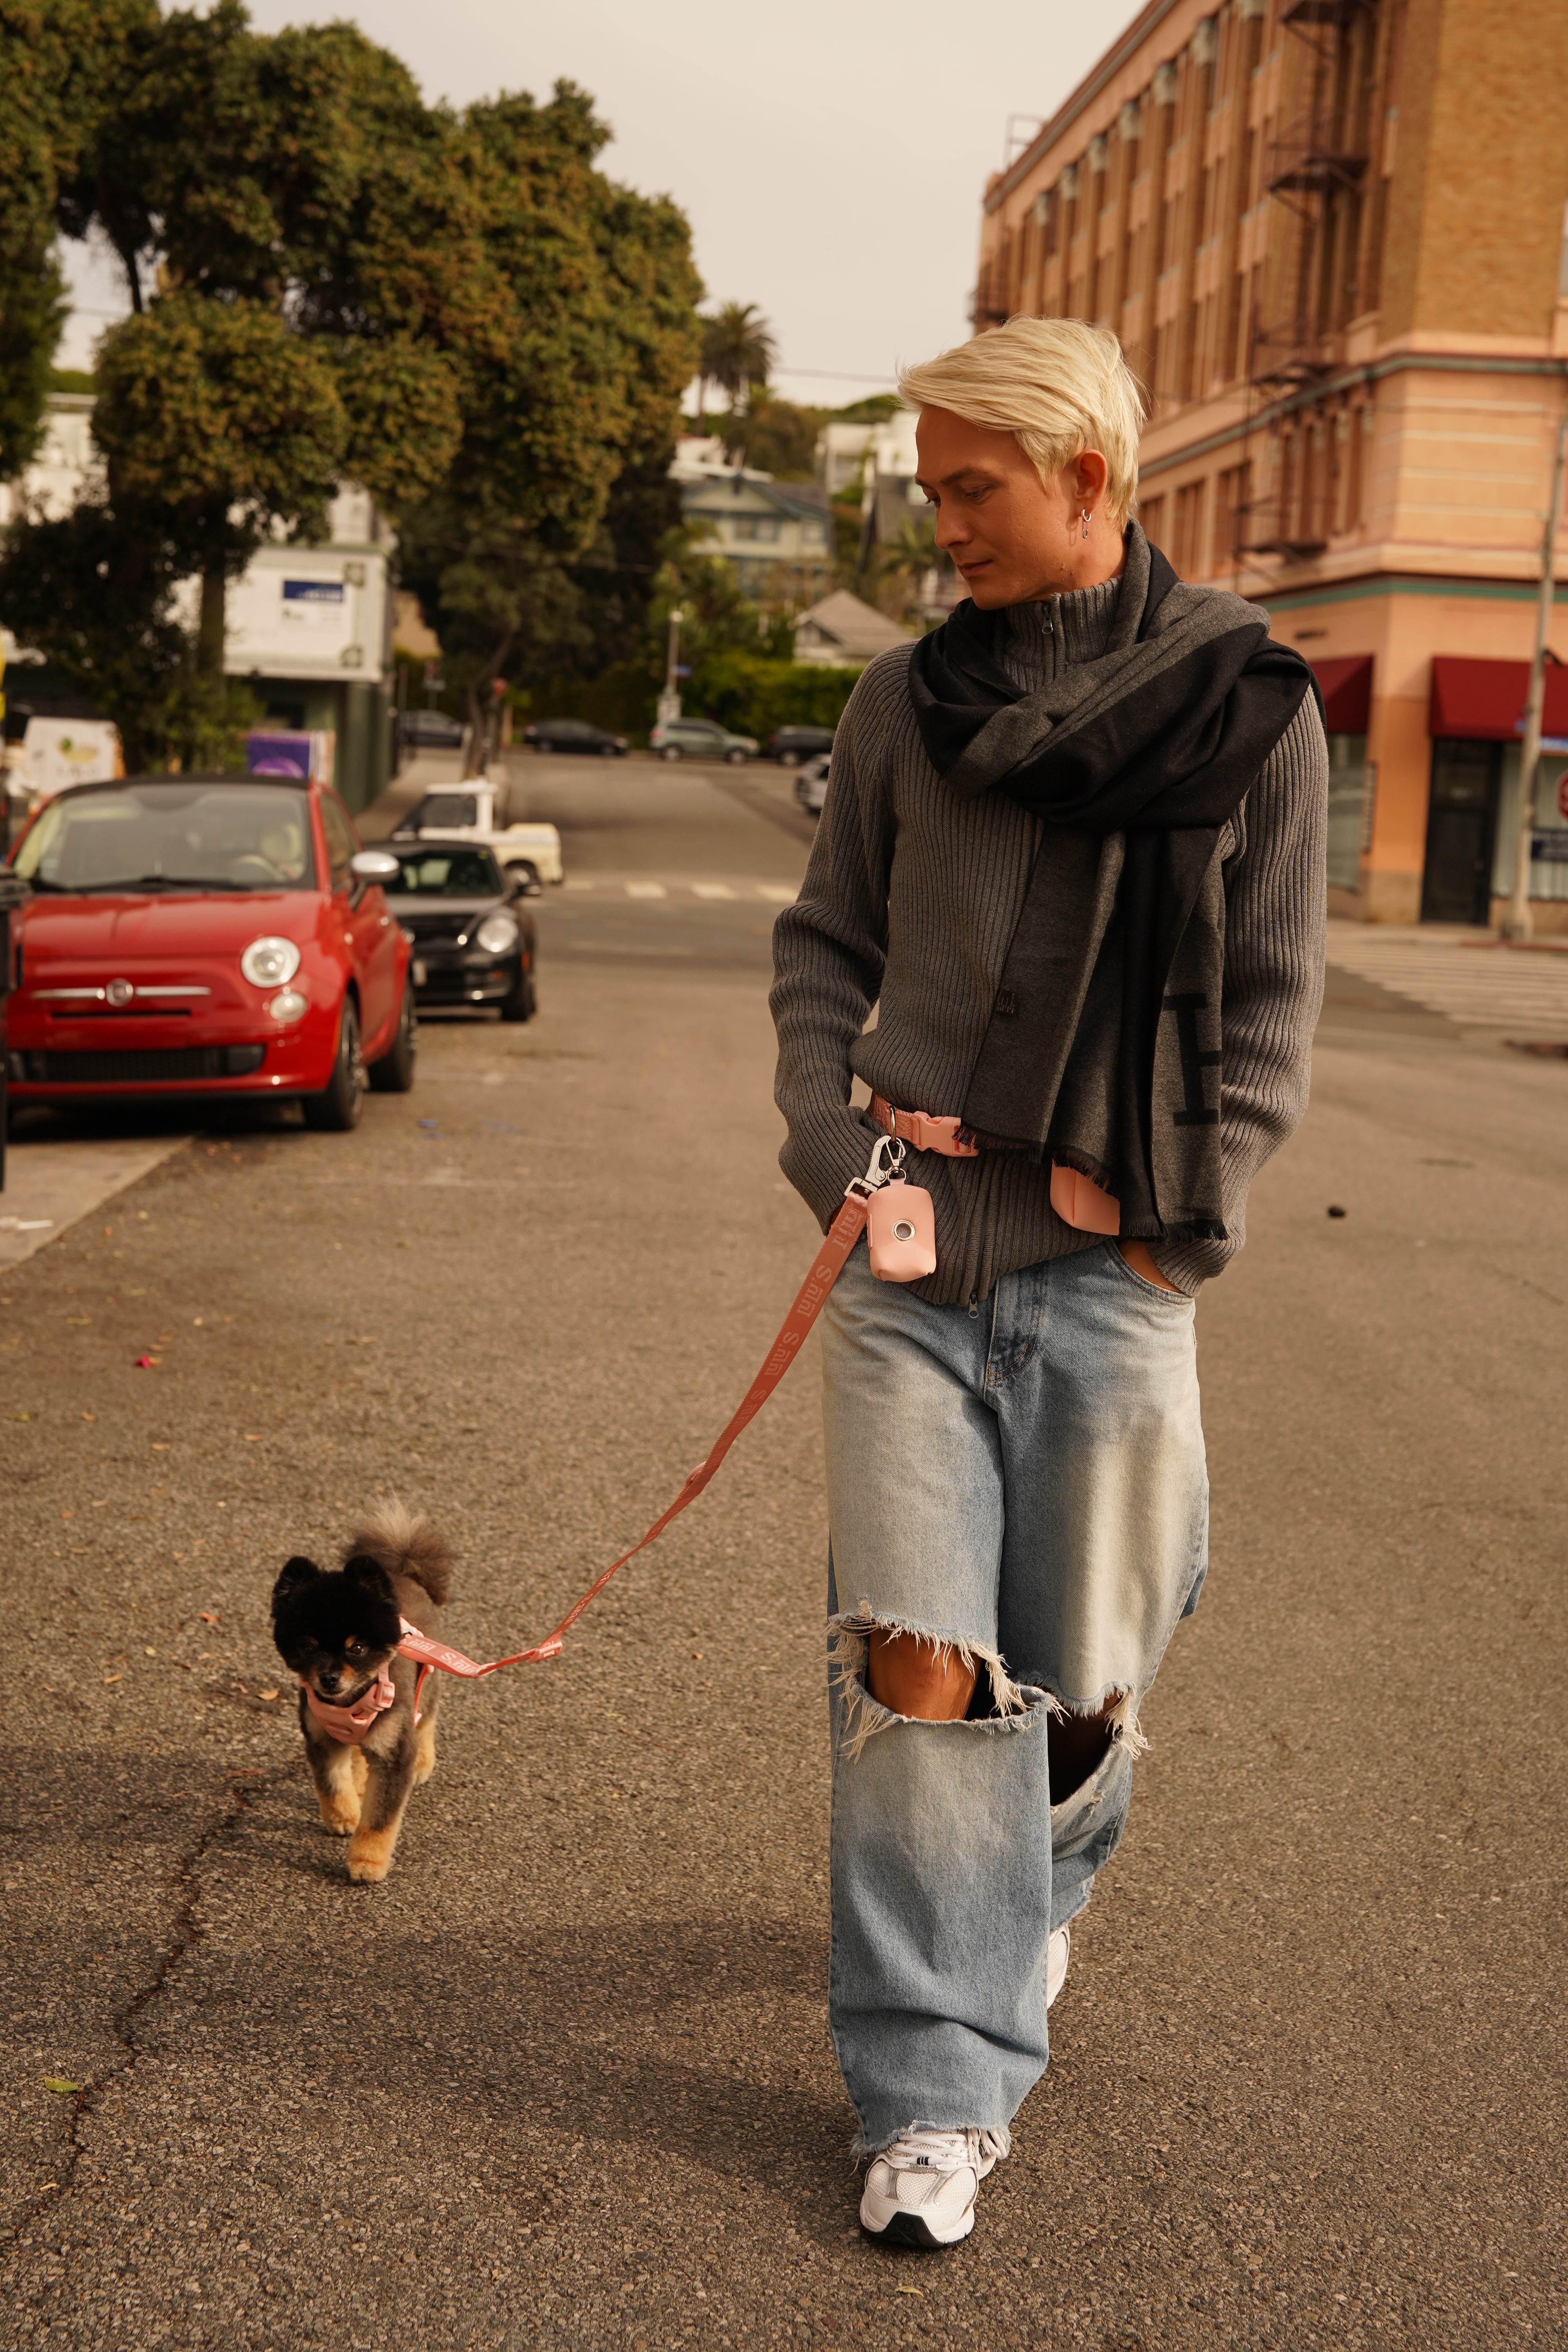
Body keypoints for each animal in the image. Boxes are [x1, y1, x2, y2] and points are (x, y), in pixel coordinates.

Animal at [270, 1515, 451, 1882]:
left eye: (357, 1648)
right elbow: (331, 1784)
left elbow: (380, 1819)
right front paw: (344, 1816)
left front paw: (367, 1862)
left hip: (426, 1684)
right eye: (308, 1646)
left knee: (426, 1718)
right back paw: (360, 1782)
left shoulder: (395, 1754)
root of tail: (403, 1569)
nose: (329, 1677)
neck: (350, 1702)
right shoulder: (321, 1739)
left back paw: (423, 1761)